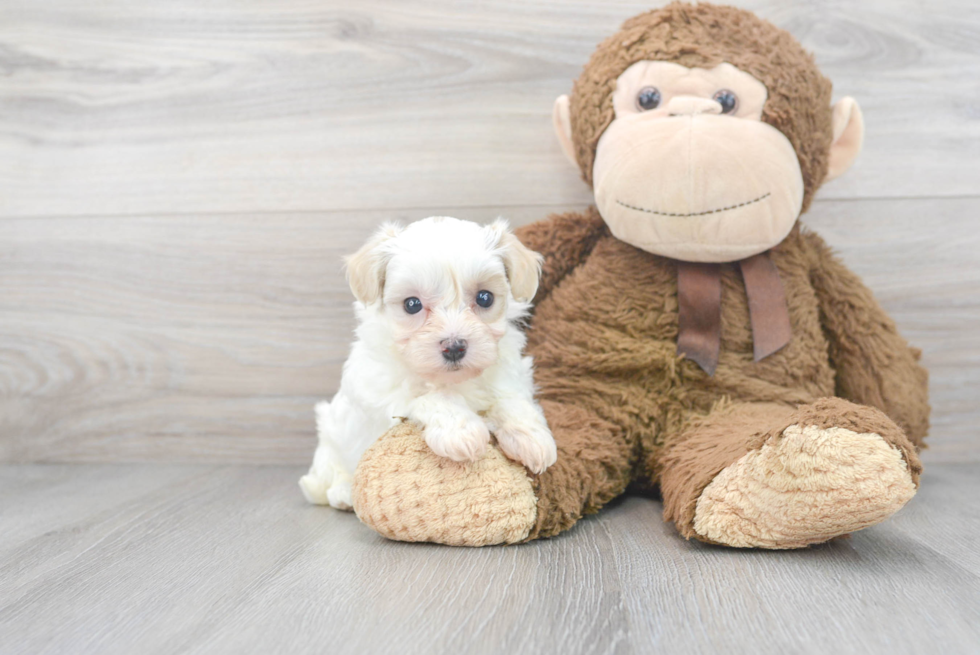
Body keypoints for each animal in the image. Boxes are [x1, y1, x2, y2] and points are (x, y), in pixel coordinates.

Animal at [298, 217, 556, 512]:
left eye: (485, 298)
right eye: (412, 304)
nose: (454, 347)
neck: (452, 379)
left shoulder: (511, 375)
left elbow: (510, 399)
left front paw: (532, 436)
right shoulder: (381, 391)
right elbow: (430, 397)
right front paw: (461, 432)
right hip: (330, 441)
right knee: (331, 476)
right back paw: (343, 493)